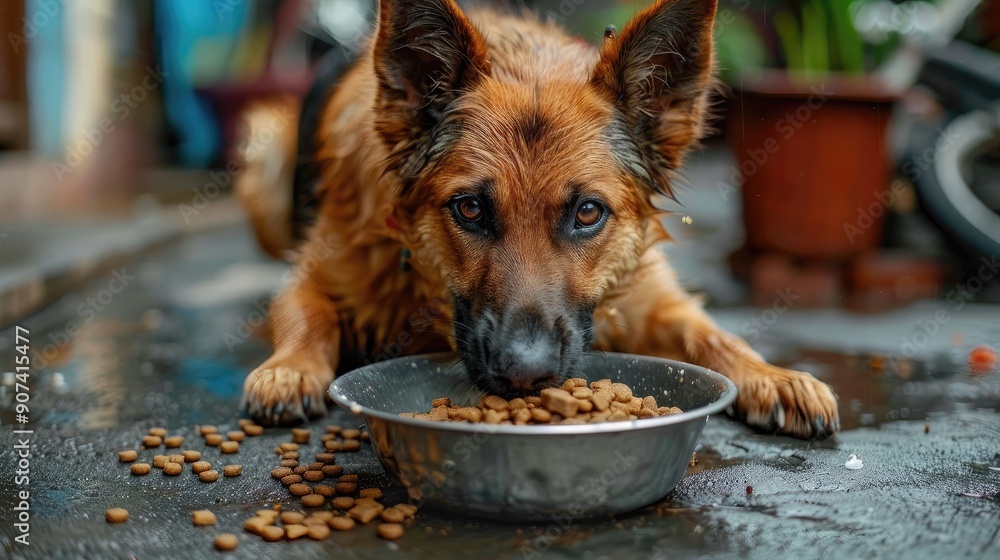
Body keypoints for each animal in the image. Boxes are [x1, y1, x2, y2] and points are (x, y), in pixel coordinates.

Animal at [238, 0, 840, 438]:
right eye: (470, 208)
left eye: (588, 212)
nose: (525, 375)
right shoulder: (311, 275)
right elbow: (309, 315)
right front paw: (289, 369)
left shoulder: (651, 297)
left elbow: (715, 334)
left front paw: (774, 376)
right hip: (263, 156)